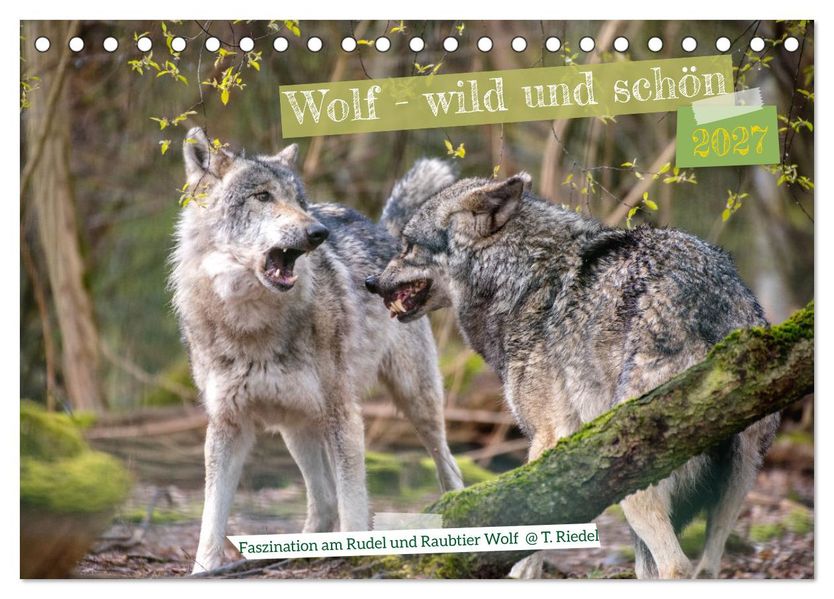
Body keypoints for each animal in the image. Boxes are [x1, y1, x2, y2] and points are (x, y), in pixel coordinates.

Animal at [170, 128, 463, 574]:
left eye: (299, 200)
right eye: (262, 196)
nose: (318, 233)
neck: (252, 325)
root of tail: (385, 230)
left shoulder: (344, 415)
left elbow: (354, 503)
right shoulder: (227, 424)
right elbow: (211, 515)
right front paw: (204, 570)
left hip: (415, 401)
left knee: (449, 467)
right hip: (298, 428)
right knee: (322, 501)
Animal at [366, 166, 780, 579]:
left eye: (407, 245)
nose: (369, 282)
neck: (520, 278)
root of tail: (712, 308)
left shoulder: (548, 440)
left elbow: (529, 551)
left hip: (636, 487)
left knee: (676, 566)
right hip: (728, 493)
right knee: (700, 567)